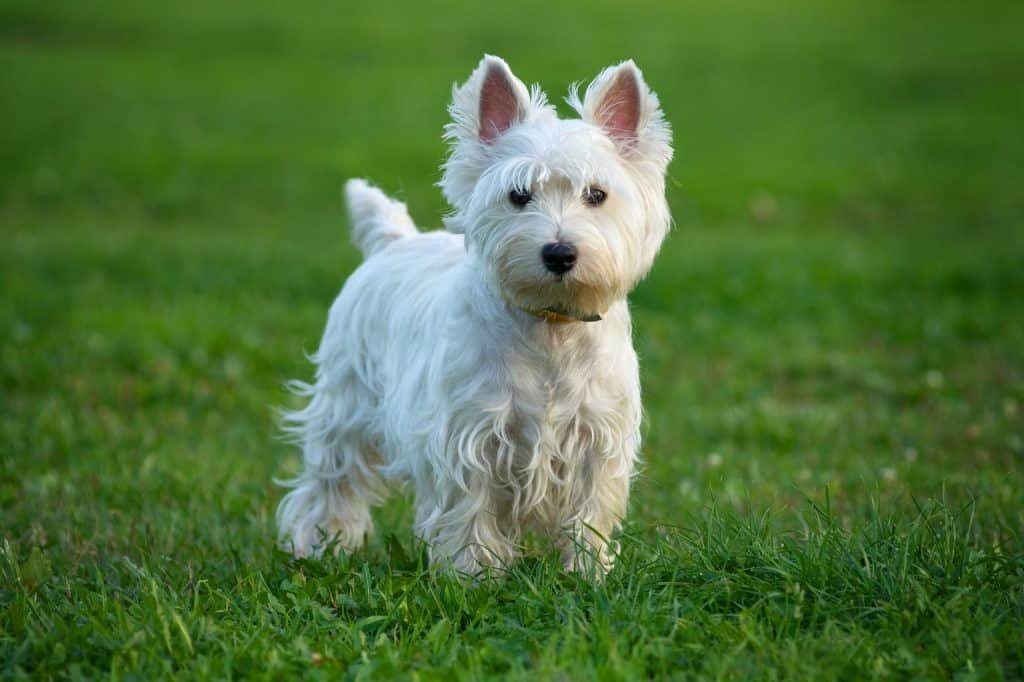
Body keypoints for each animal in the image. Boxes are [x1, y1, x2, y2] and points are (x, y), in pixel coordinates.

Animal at [276, 55, 671, 573]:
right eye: (519, 194)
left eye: (596, 195)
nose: (559, 253)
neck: (550, 326)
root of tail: (394, 241)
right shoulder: (469, 437)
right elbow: (471, 511)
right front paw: (473, 575)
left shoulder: (597, 438)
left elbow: (590, 514)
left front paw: (589, 573)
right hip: (346, 403)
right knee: (331, 480)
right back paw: (320, 546)